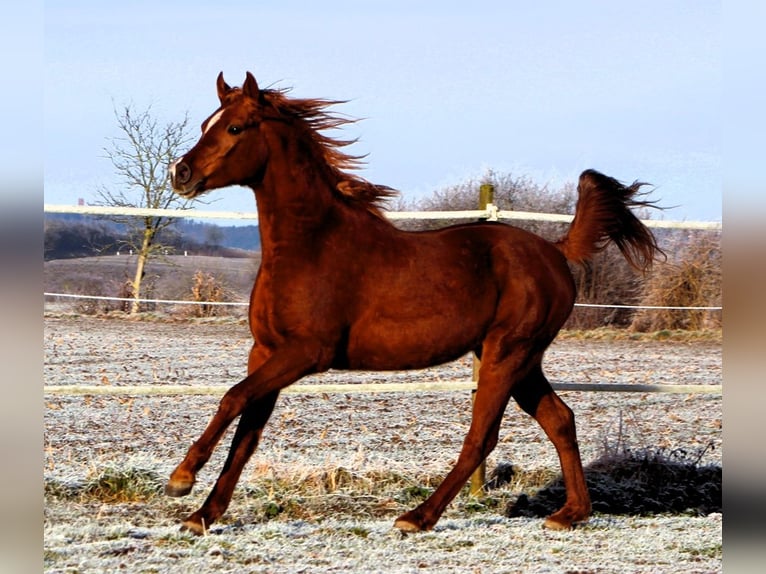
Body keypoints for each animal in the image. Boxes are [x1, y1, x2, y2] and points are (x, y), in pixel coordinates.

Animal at [168, 72, 664, 536]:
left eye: (234, 127)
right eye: (205, 123)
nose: (181, 173)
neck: (312, 244)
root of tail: (556, 251)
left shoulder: (307, 352)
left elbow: (232, 398)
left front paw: (182, 478)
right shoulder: (266, 351)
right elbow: (246, 434)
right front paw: (202, 515)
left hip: (508, 353)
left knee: (483, 436)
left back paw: (418, 516)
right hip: (520, 360)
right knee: (560, 420)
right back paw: (570, 514)